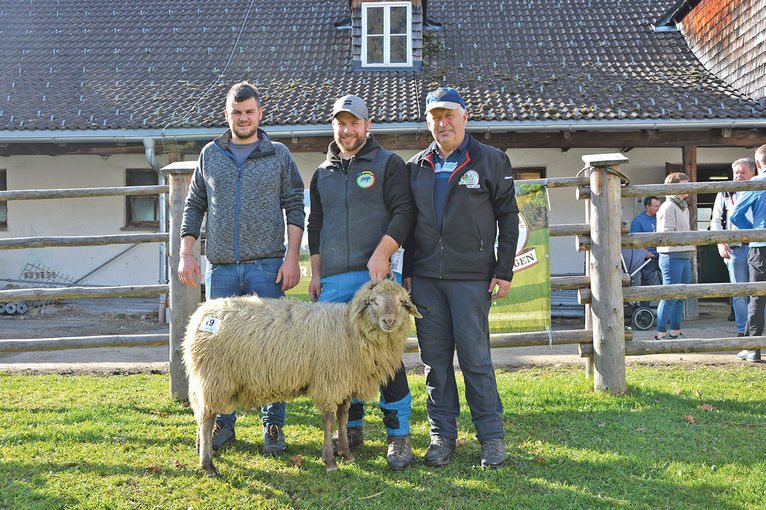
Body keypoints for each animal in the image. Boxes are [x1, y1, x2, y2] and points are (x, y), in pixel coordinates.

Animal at [182, 276, 420, 476]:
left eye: (401, 302)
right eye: (373, 301)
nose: (389, 322)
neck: (350, 328)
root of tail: (199, 316)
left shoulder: (344, 385)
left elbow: (343, 418)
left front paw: (346, 454)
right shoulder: (329, 383)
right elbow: (329, 421)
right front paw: (330, 461)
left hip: (206, 379)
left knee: (201, 414)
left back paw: (201, 449)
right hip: (214, 377)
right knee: (207, 418)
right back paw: (208, 465)